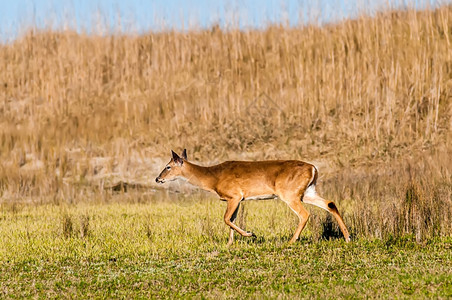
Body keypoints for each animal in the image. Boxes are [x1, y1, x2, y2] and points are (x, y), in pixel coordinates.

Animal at [157, 149, 352, 245]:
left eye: (168, 166)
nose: (157, 179)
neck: (213, 178)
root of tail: (313, 168)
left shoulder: (234, 195)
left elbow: (226, 219)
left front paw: (251, 234)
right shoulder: (235, 199)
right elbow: (231, 220)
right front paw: (230, 244)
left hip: (289, 193)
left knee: (304, 214)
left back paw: (291, 241)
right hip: (306, 192)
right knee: (330, 203)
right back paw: (347, 237)